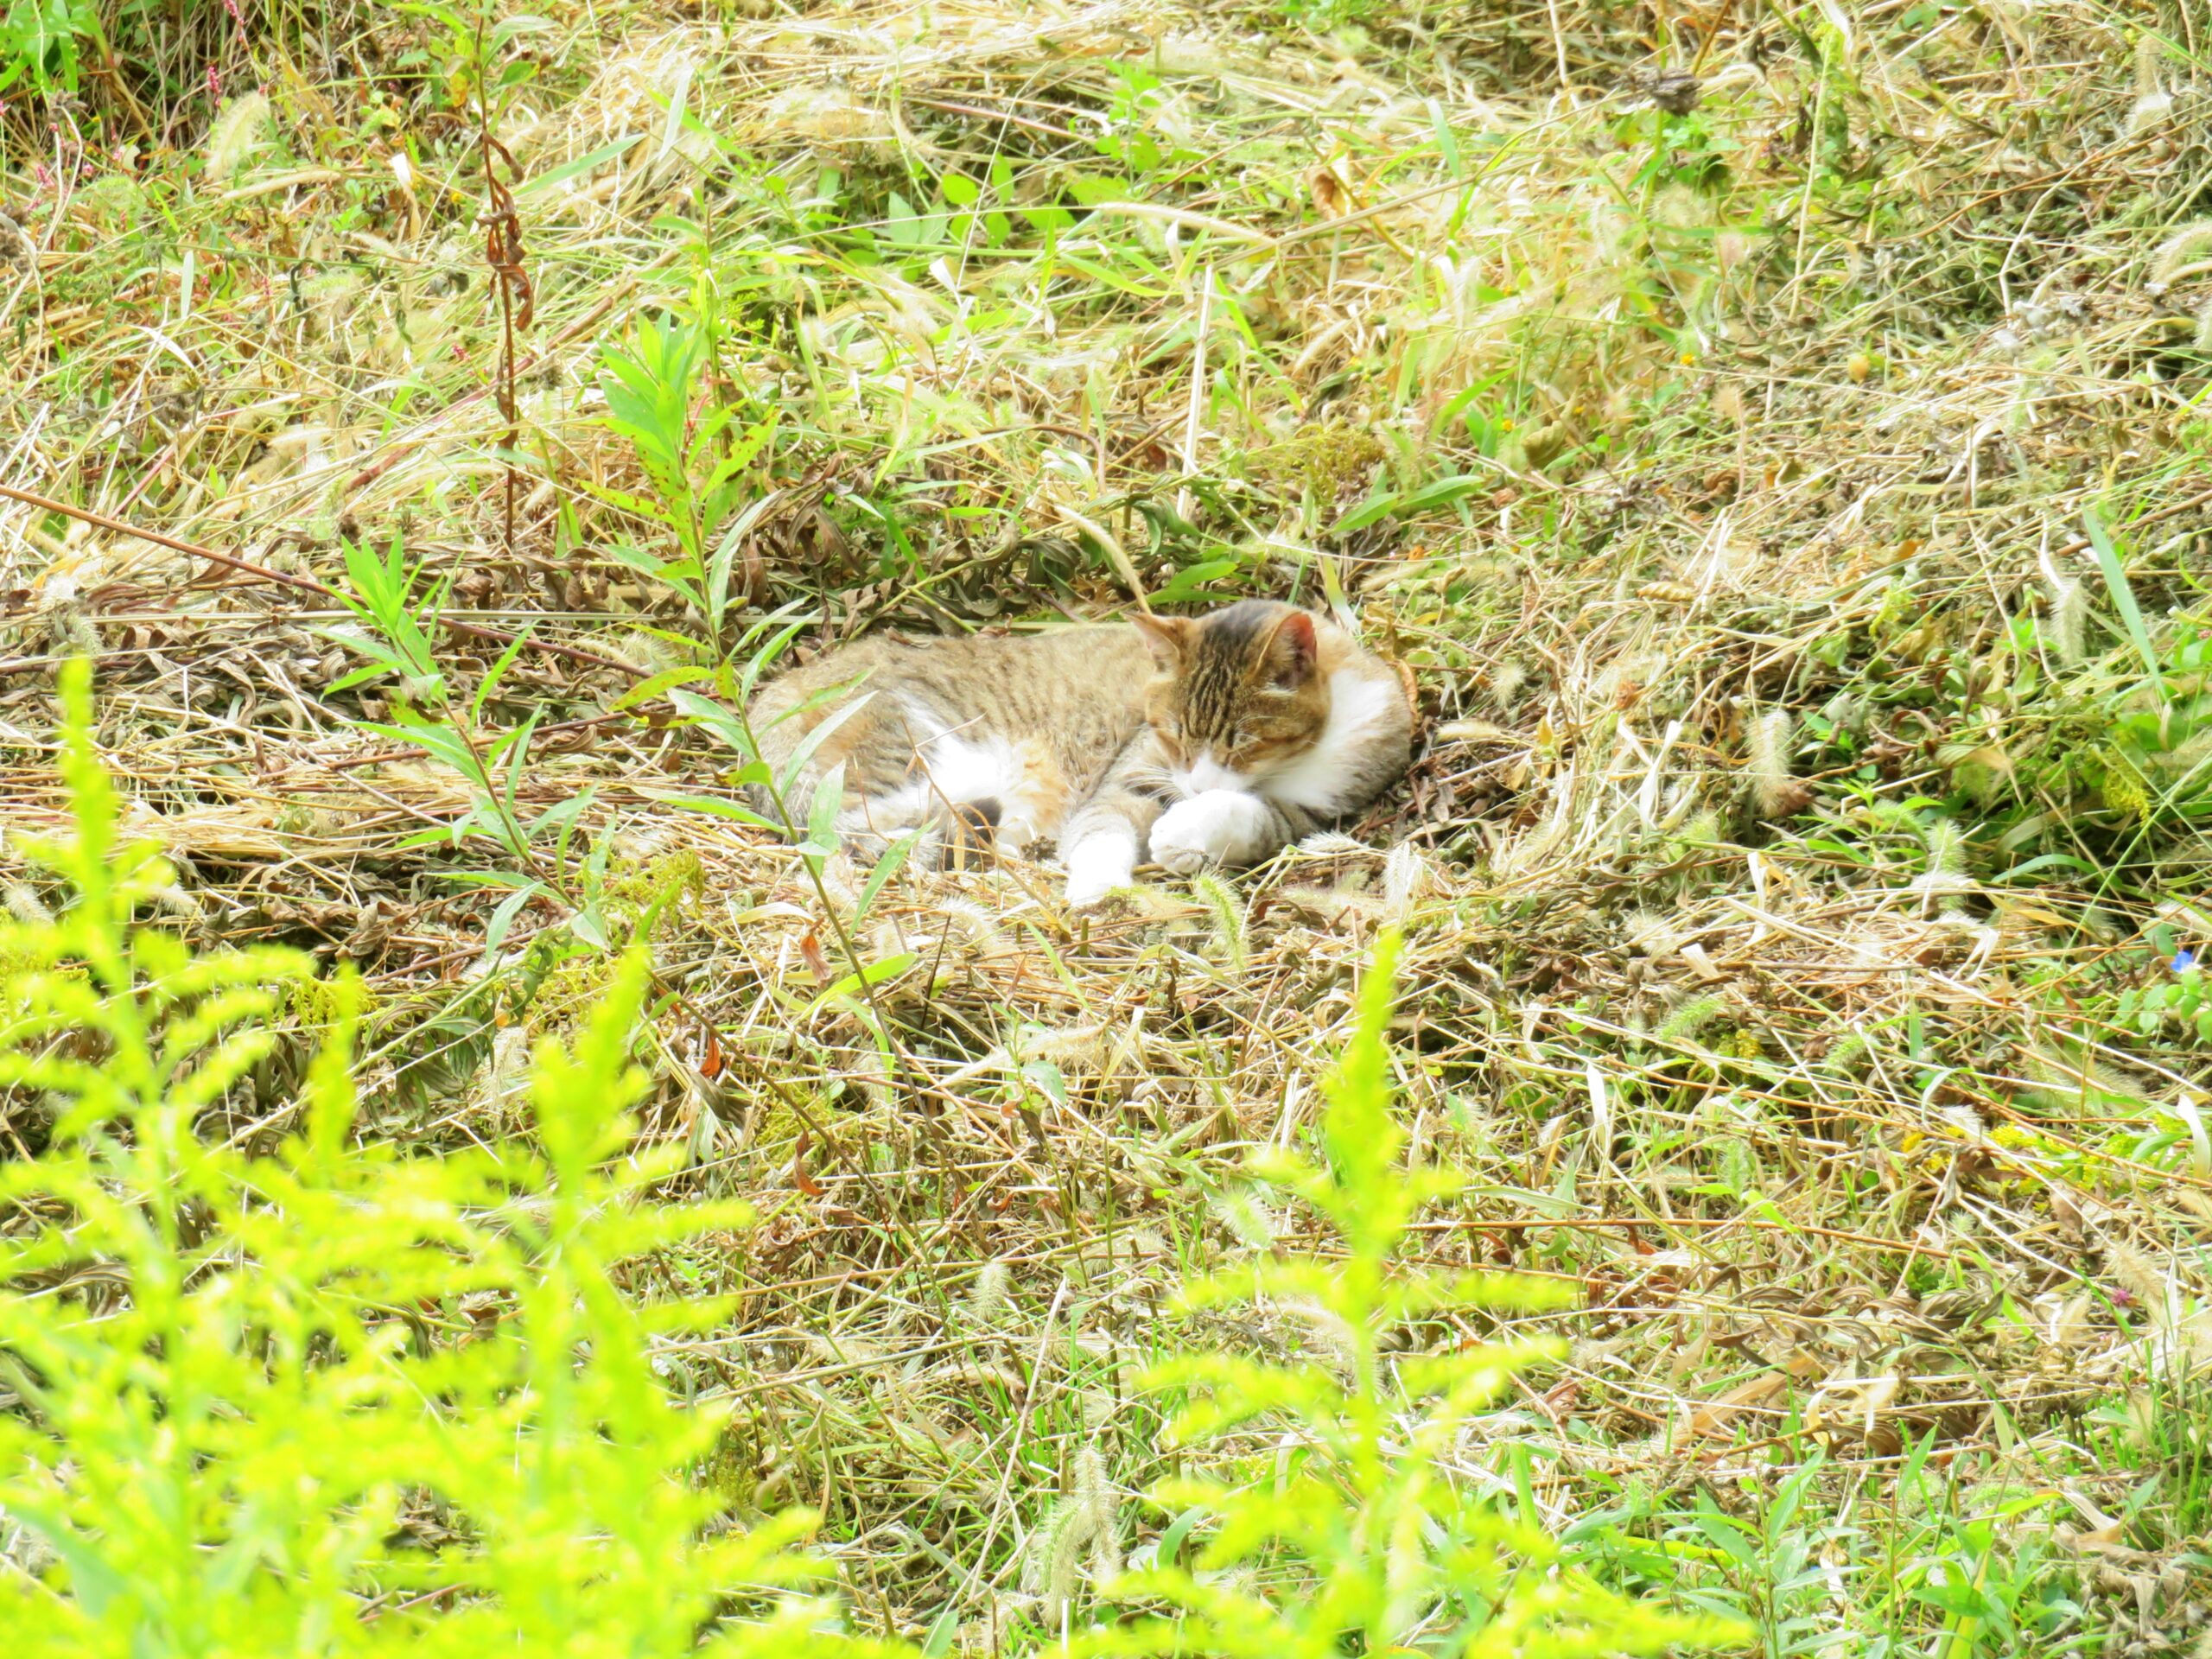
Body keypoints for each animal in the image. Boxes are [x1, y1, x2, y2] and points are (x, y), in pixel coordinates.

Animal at [752, 601, 1407, 911]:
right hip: (922, 752)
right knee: (846, 828)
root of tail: (780, 687)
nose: (1194, 785)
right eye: (1174, 733)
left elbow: (1249, 814)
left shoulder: (1312, 812)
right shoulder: (1135, 770)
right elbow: (1103, 829)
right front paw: (1098, 885)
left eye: (1243, 740)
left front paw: (1187, 834)